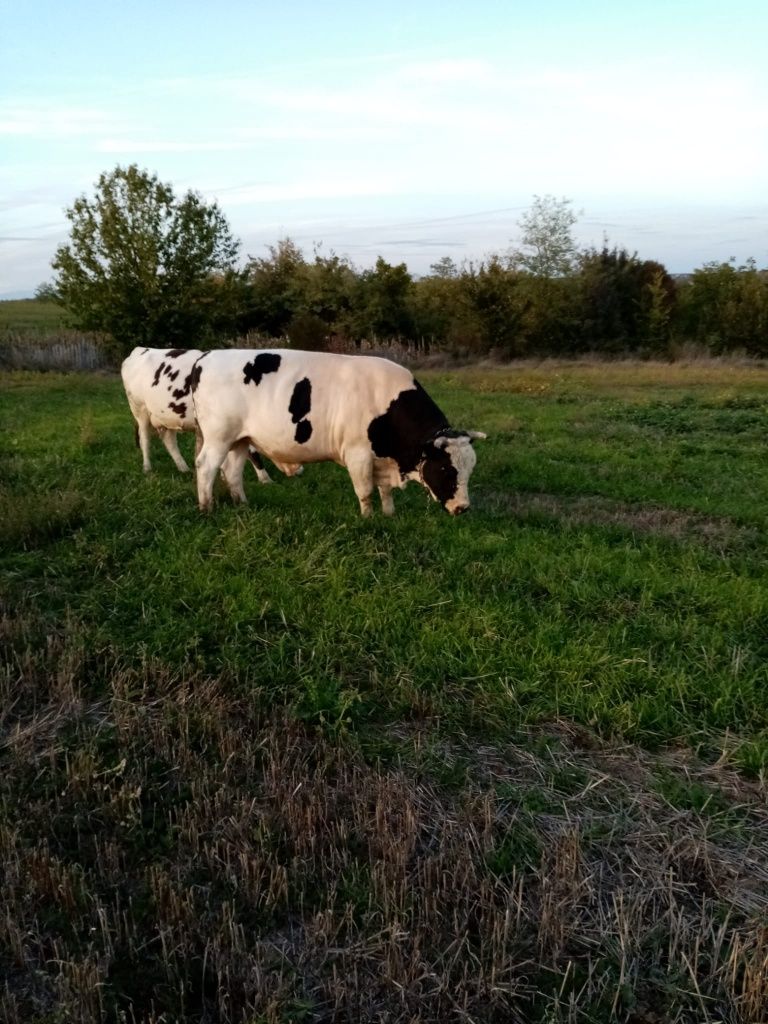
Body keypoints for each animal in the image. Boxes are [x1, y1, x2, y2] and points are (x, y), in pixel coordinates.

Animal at [120, 348, 303, 483]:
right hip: (140, 409)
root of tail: (139, 350)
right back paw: (147, 468)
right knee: (145, 438)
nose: (300, 470)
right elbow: (252, 452)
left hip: (165, 415)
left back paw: (183, 468)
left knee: (169, 440)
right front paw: (265, 479)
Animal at [191, 350, 487, 516]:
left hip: (240, 439)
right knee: (206, 466)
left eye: (470, 470)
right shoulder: (357, 453)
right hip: (219, 437)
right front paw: (368, 519)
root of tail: (205, 358)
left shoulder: (380, 457)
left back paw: (242, 504)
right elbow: (365, 491)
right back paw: (207, 508)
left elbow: (384, 491)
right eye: (446, 469)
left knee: (232, 471)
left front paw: (389, 515)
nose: (463, 508)